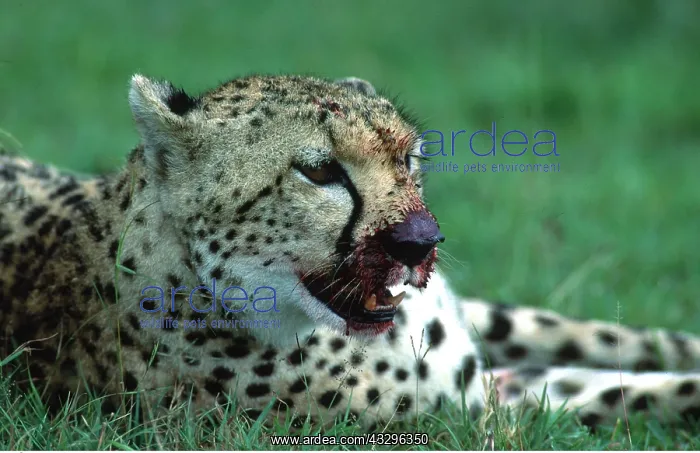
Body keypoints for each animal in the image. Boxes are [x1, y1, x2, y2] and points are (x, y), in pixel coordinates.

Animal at [1, 73, 699, 434]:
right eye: (319, 172)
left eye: (409, 159)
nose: (419, 242)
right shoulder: (463, 417)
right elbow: (627, 394)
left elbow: (614, 340)